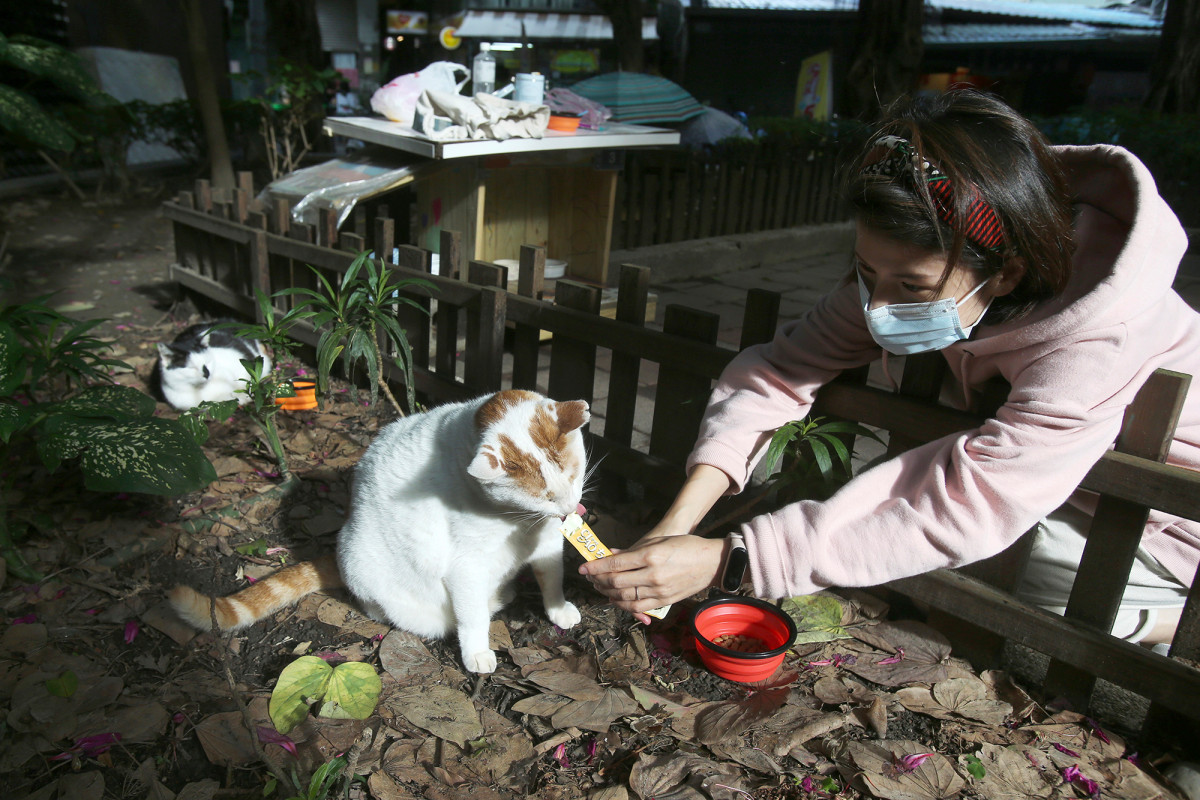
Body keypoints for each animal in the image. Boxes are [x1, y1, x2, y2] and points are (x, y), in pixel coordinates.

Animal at [171, 391, 592, 671]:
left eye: (573, 476)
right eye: (545, 495)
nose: (569, 509)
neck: (517, 521)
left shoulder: (547, 541)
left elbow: (551, 577)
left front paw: (558, 610)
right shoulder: (466, 568)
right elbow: (472, 617)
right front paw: (476, 652)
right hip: (374, 571)